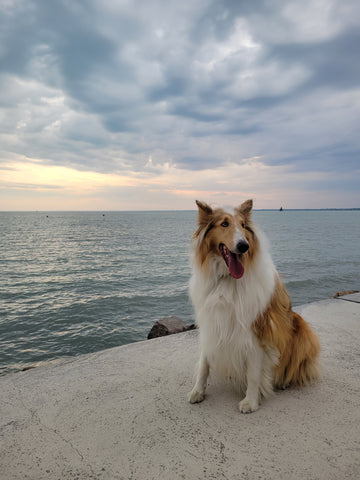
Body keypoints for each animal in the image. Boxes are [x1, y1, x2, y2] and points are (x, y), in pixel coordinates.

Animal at [188, 199, 320, 412]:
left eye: (243, 225)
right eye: (224, 224)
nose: (244, 246)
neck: (227, 280)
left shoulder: (257, 332)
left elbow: (253, 373)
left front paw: (250, 401)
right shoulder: (211, 323)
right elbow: (203, 365)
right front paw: (197, 391)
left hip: (303, 331)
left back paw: (284, 381)